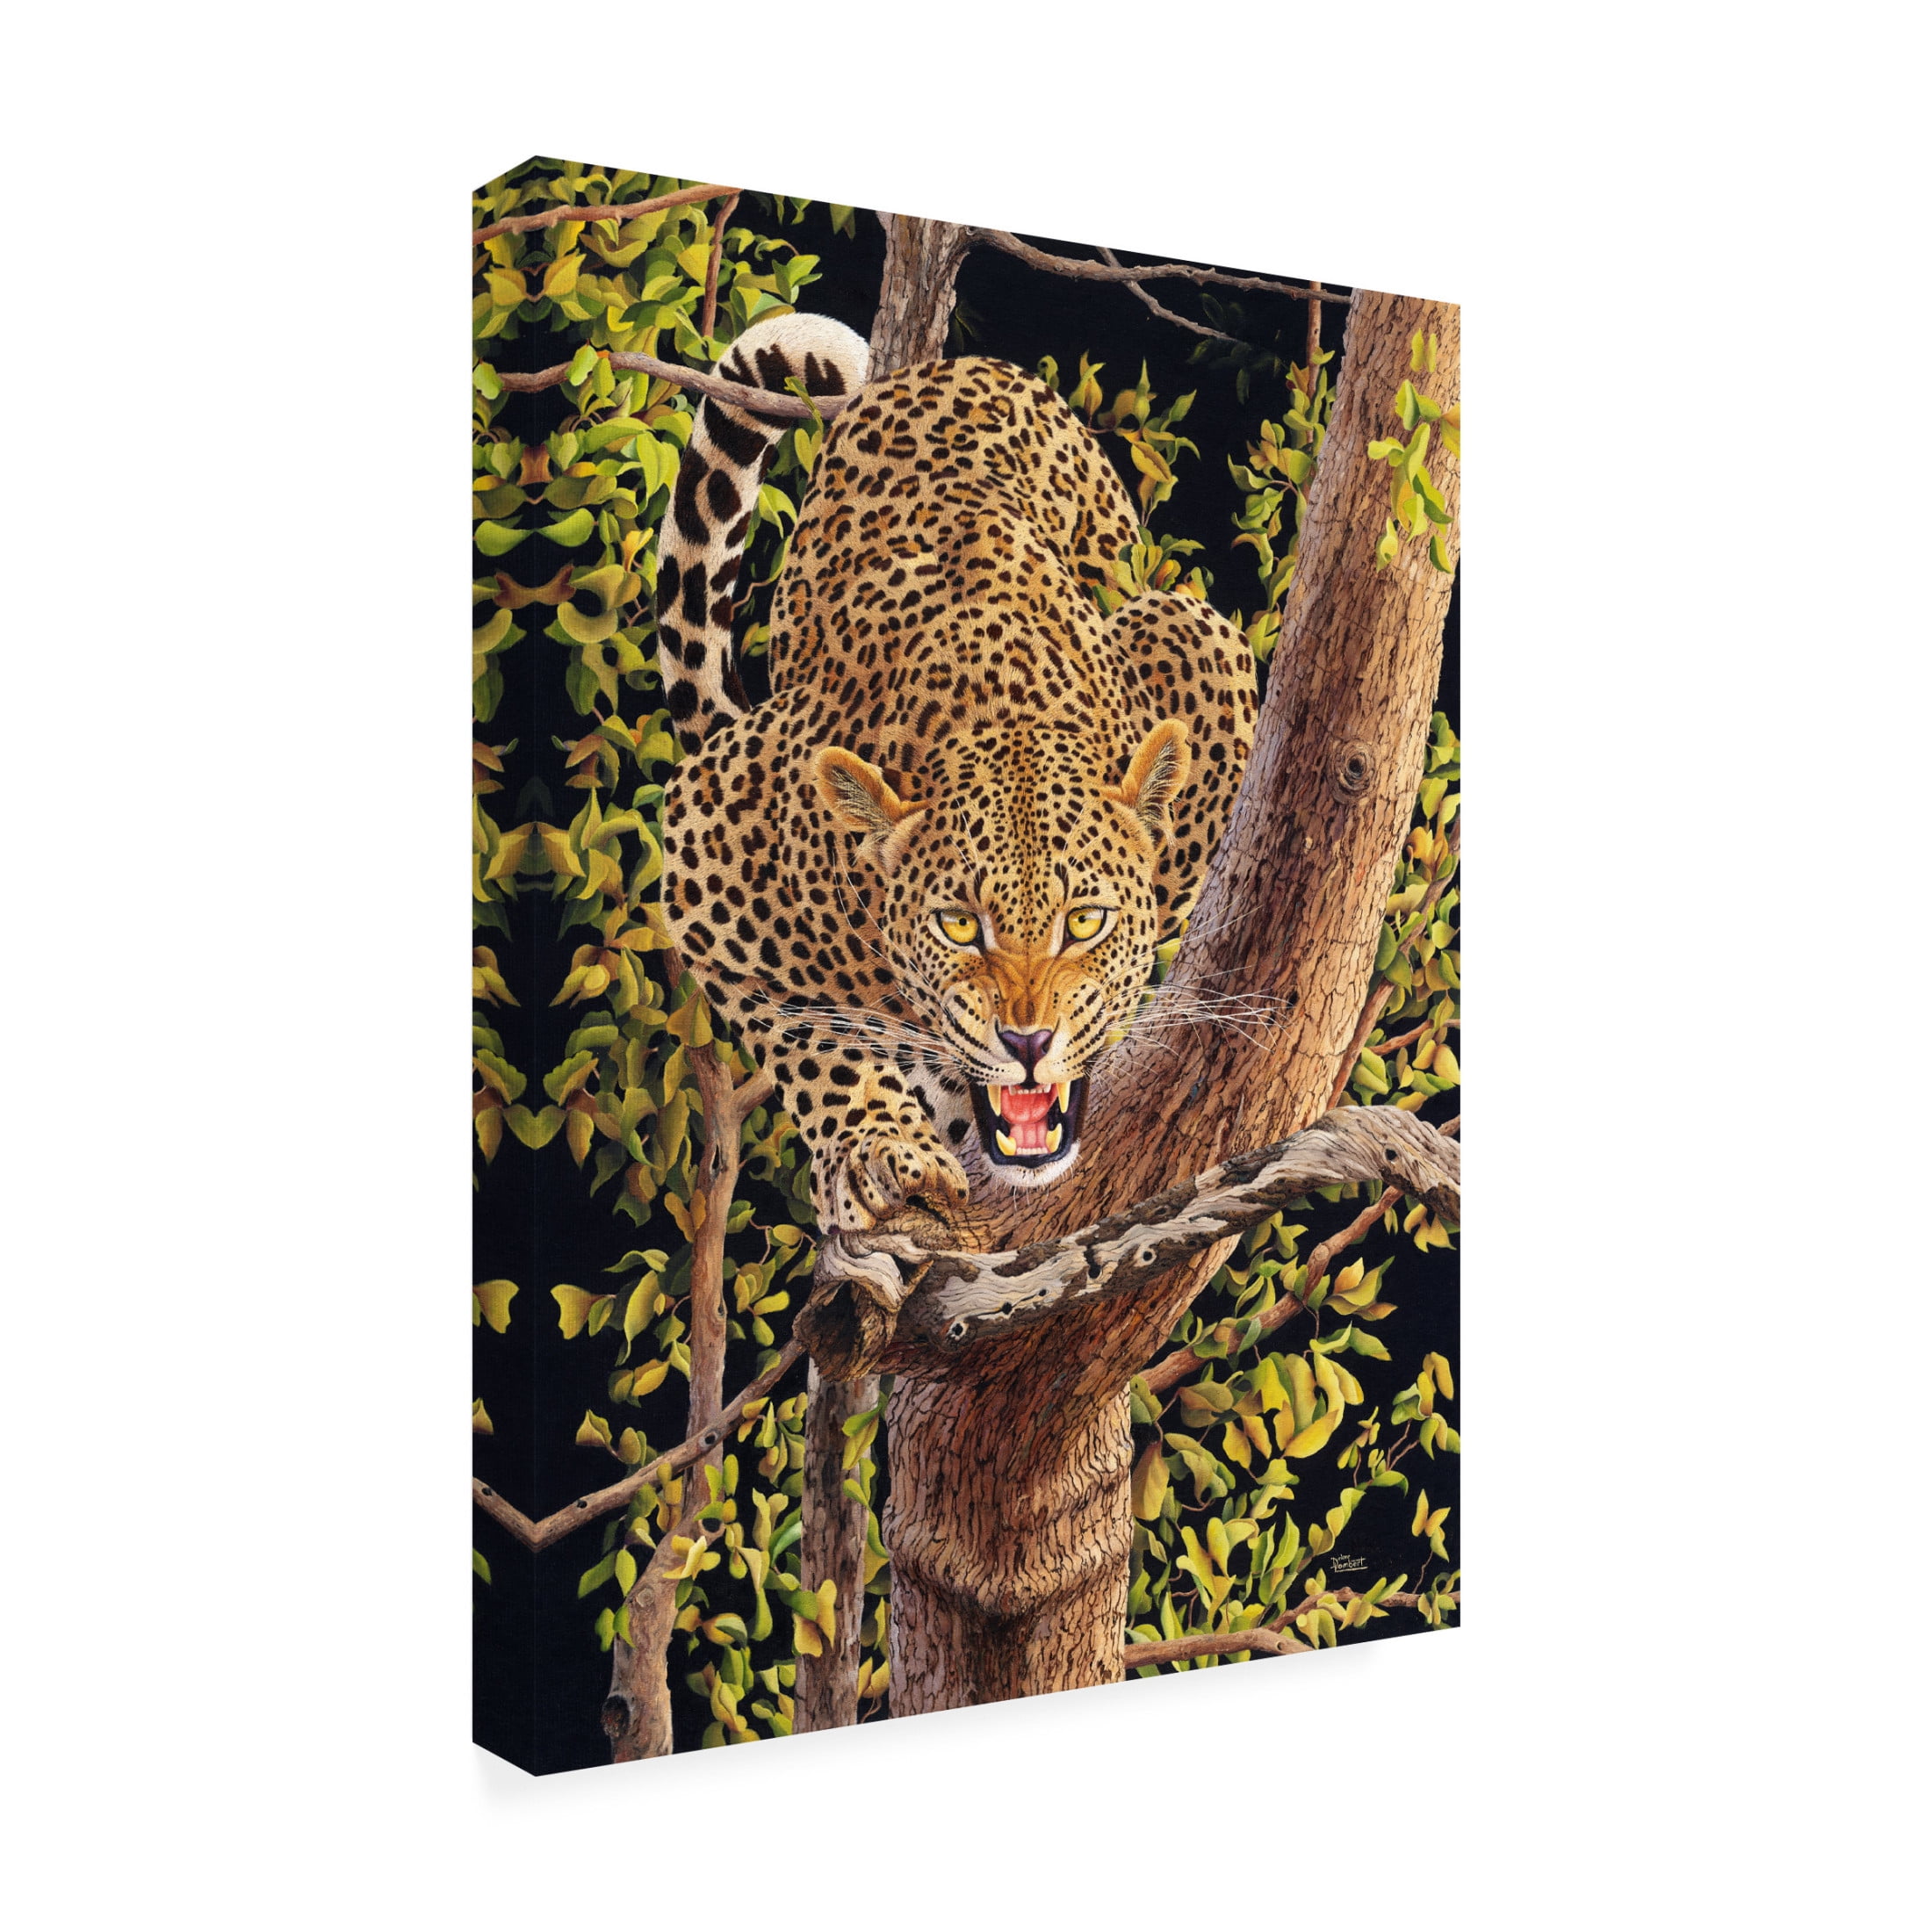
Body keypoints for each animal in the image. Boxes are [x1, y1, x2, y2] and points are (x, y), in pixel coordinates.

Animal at [655, 311, 1258, 1238]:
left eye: (1085, 922)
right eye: (957, 926)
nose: (1029, 1044)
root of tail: (945, 370)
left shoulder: (1202, 650)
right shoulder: (701, 843)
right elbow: (807, 1039)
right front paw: (880, 1148)